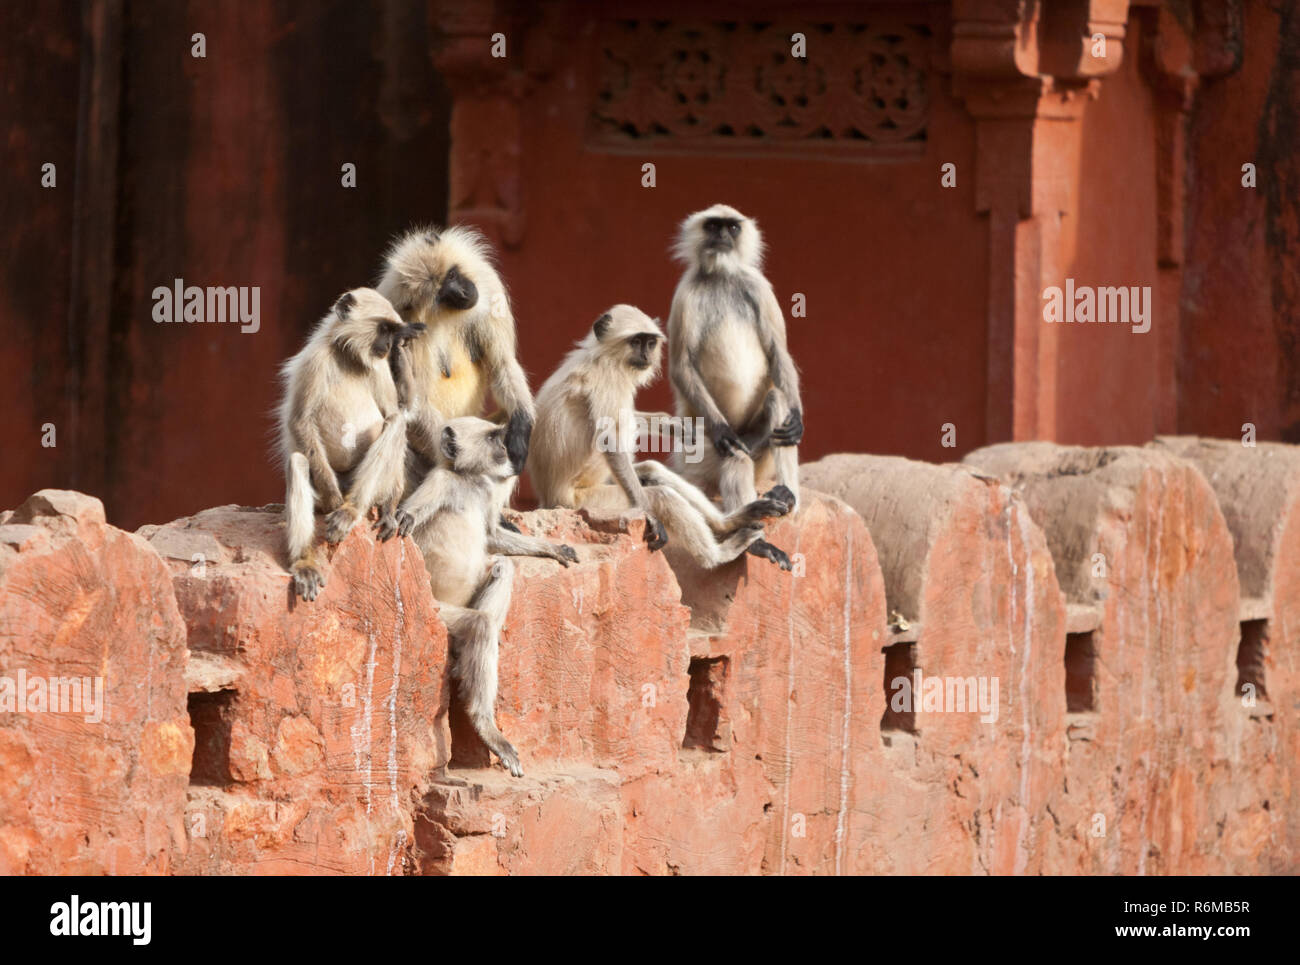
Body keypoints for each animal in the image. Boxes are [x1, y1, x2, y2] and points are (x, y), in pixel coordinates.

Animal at [279, 288, 426, 603]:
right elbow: (300, 422)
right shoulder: (315, 360)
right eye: (384, 329)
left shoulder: (379, 368)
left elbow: (397, 413)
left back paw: (353, 510)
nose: (388, 345)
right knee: (298, 462)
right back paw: (305, 561)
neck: (347, 356)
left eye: (392, 331)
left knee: (395, 422)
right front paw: (334, 500)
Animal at [395, 416, 579, 780]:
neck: (467, 481)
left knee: (502, 568)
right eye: (495, 438)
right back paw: (484, 721)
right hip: (439, 610)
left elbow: (493, 536)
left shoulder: (485, 495)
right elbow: (408, 516)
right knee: (479, 625)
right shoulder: (442, 480)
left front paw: (553, 548)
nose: (507, 450)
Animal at [527, 305, 790, 569]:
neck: (602, 357)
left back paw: (729, 523)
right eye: (636, 342)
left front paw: (673, 426)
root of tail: (549, 498)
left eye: (650, 342)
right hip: (585, 501)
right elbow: (611, 443)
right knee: (661, 495)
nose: (645, 354)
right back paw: (718, 555)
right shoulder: (608, 380)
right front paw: (651, 518)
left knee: (654, 470)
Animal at [670, 201, 800, 567]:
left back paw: (787, 493)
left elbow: (778, 352)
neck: (721, 277)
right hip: (696, 458)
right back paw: (755, 541)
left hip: (760, 456)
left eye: (732, 228)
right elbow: (681, 366)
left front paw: (798, 419)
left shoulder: (758, 286)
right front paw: (722, 432)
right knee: (734, 457)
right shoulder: (685, 292)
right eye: (713, 226)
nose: (722, 237)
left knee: (777, 402)